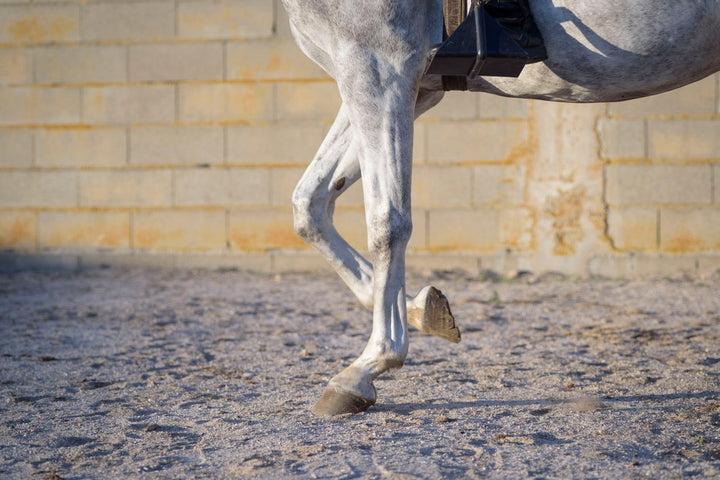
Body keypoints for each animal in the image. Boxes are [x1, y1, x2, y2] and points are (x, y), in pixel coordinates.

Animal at [280, 0, 720, 416]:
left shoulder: (378, 68)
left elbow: (387, 221)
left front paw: (365, 369)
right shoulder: (411, 85)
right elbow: (310, 204)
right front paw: (424, 310)